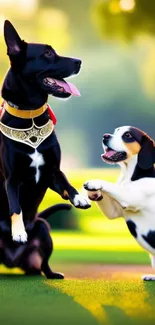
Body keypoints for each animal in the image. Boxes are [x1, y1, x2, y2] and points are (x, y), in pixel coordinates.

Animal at [0, 20, 89, 278]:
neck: (30, 118)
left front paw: (79, 197)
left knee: (43, 264)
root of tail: (11, 261)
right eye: (47, 54)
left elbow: (66, 182)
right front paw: (19, 231)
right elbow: (15, 206)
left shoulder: (51, 172)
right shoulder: (11, 178)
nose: (79, 61)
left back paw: (51, 273)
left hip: (44, 229)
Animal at [84, 125, 155, 280]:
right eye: (115, 131)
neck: (129, 175)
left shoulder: (130, 196)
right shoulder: (113, 211)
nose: (105, 136)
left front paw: (94, 182)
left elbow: (110, 185)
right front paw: (93, 193)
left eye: (127, 135)